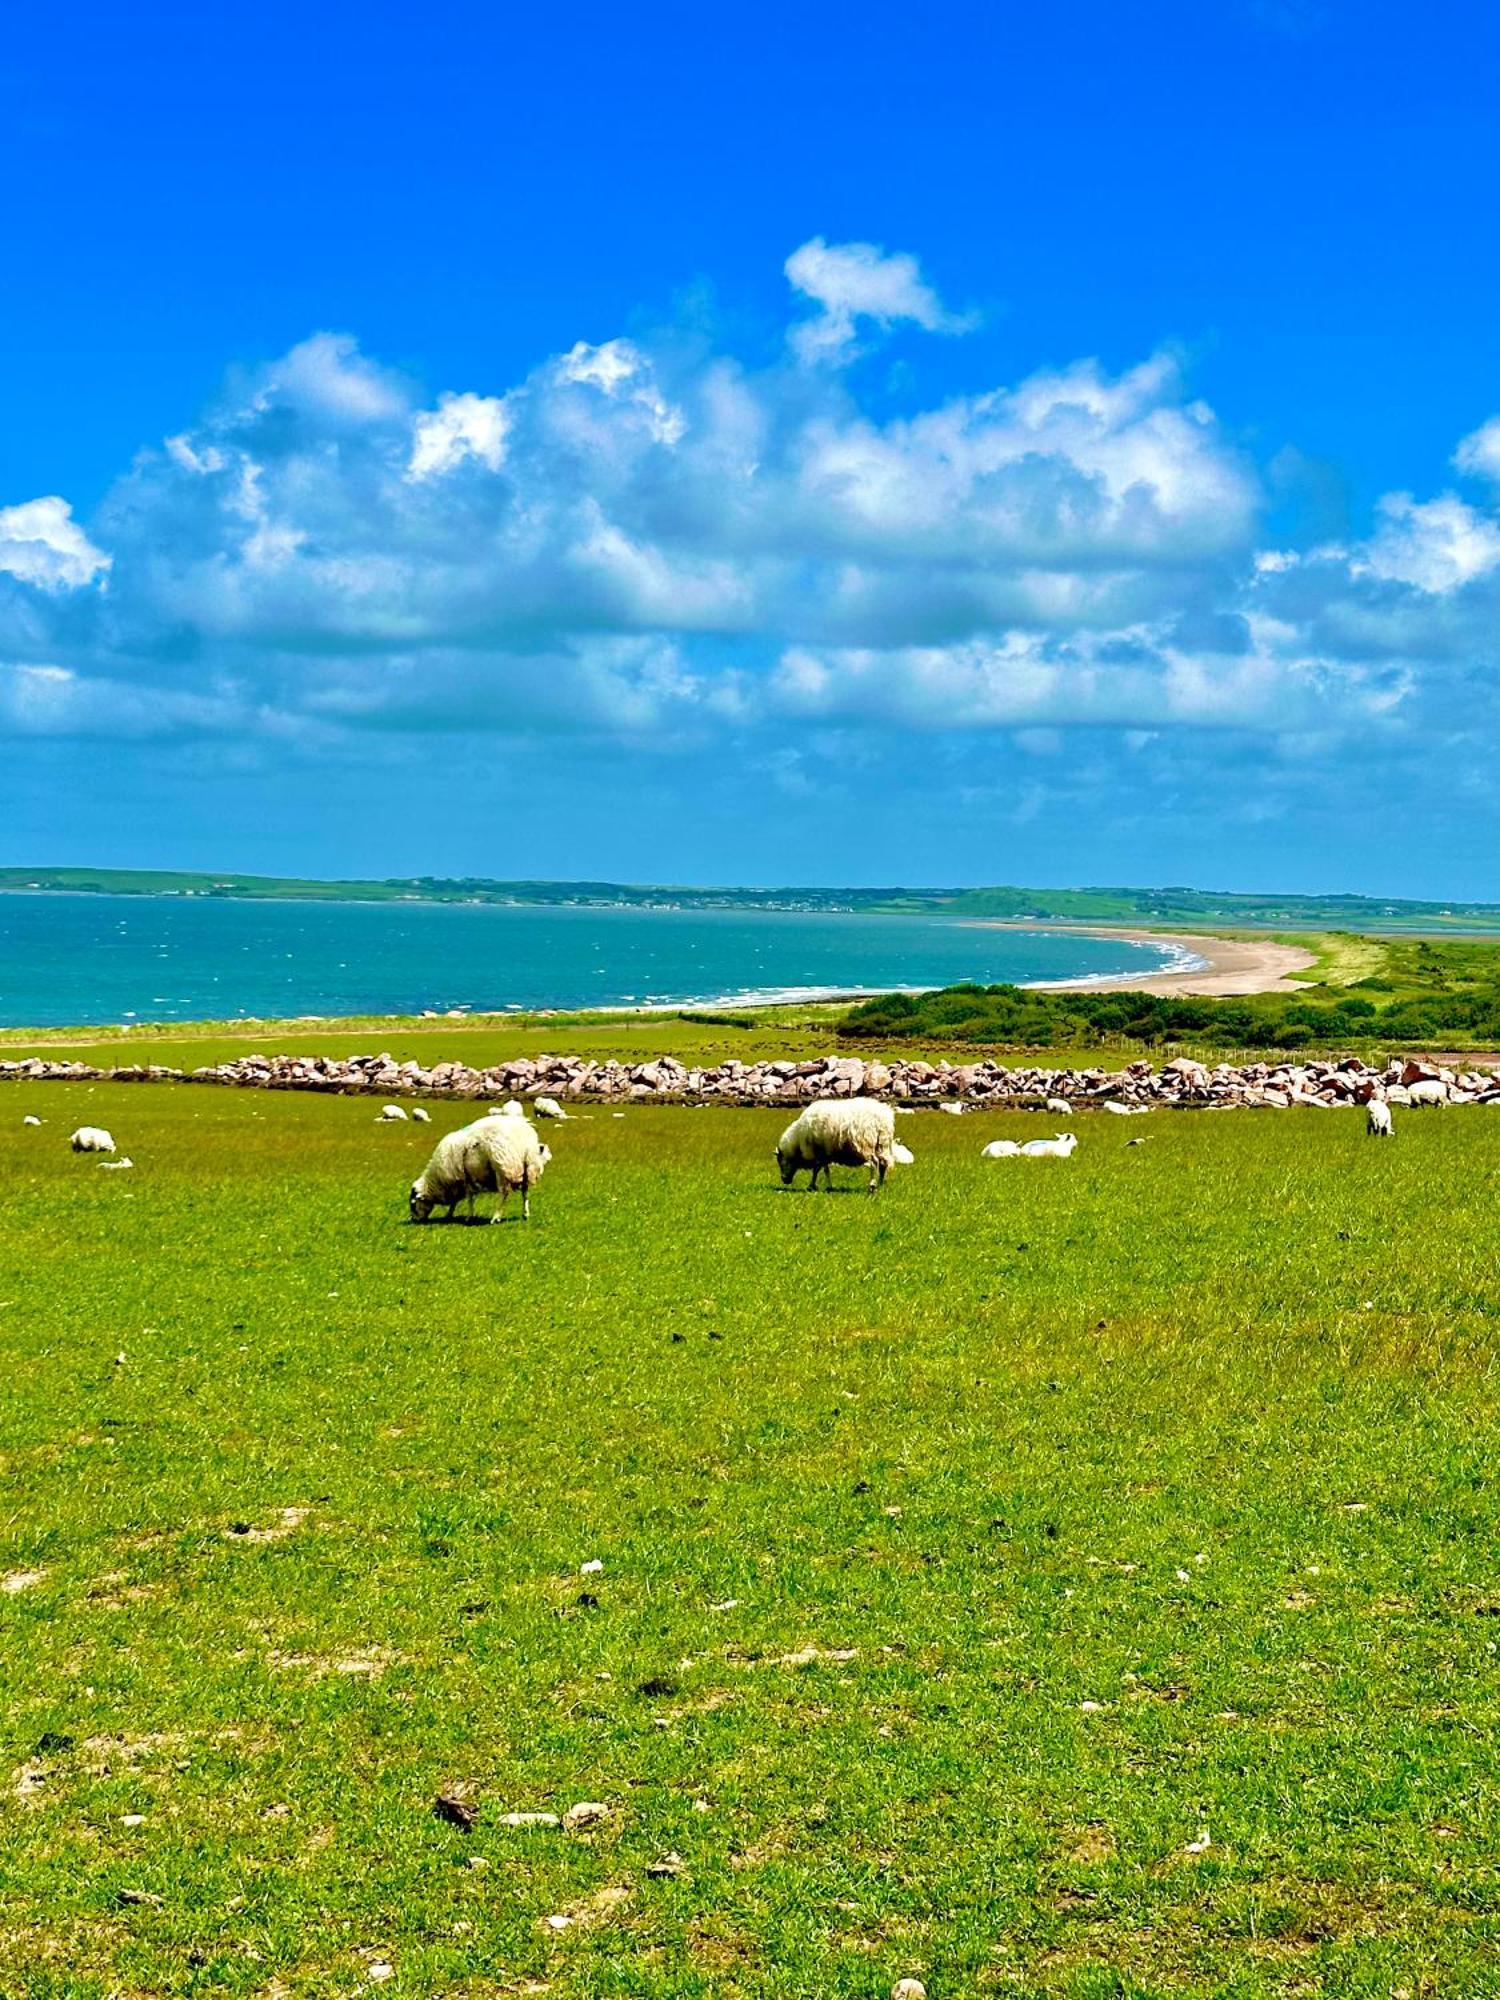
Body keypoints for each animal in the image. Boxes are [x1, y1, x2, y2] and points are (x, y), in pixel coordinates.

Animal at [412, 1120, 552, 1224]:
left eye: (413, 1204)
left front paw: (468, 1216)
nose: (414, 1220)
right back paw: (525, 1214)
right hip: (526, 1169)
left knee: (504, 1193)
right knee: (525, 1192)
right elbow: (457, 1200)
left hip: (503, 1166)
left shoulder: (464, 1179)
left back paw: (496, 1217)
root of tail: (526, 1142)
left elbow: (469, 1198)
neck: (437, 1182)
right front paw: (450, 1214)